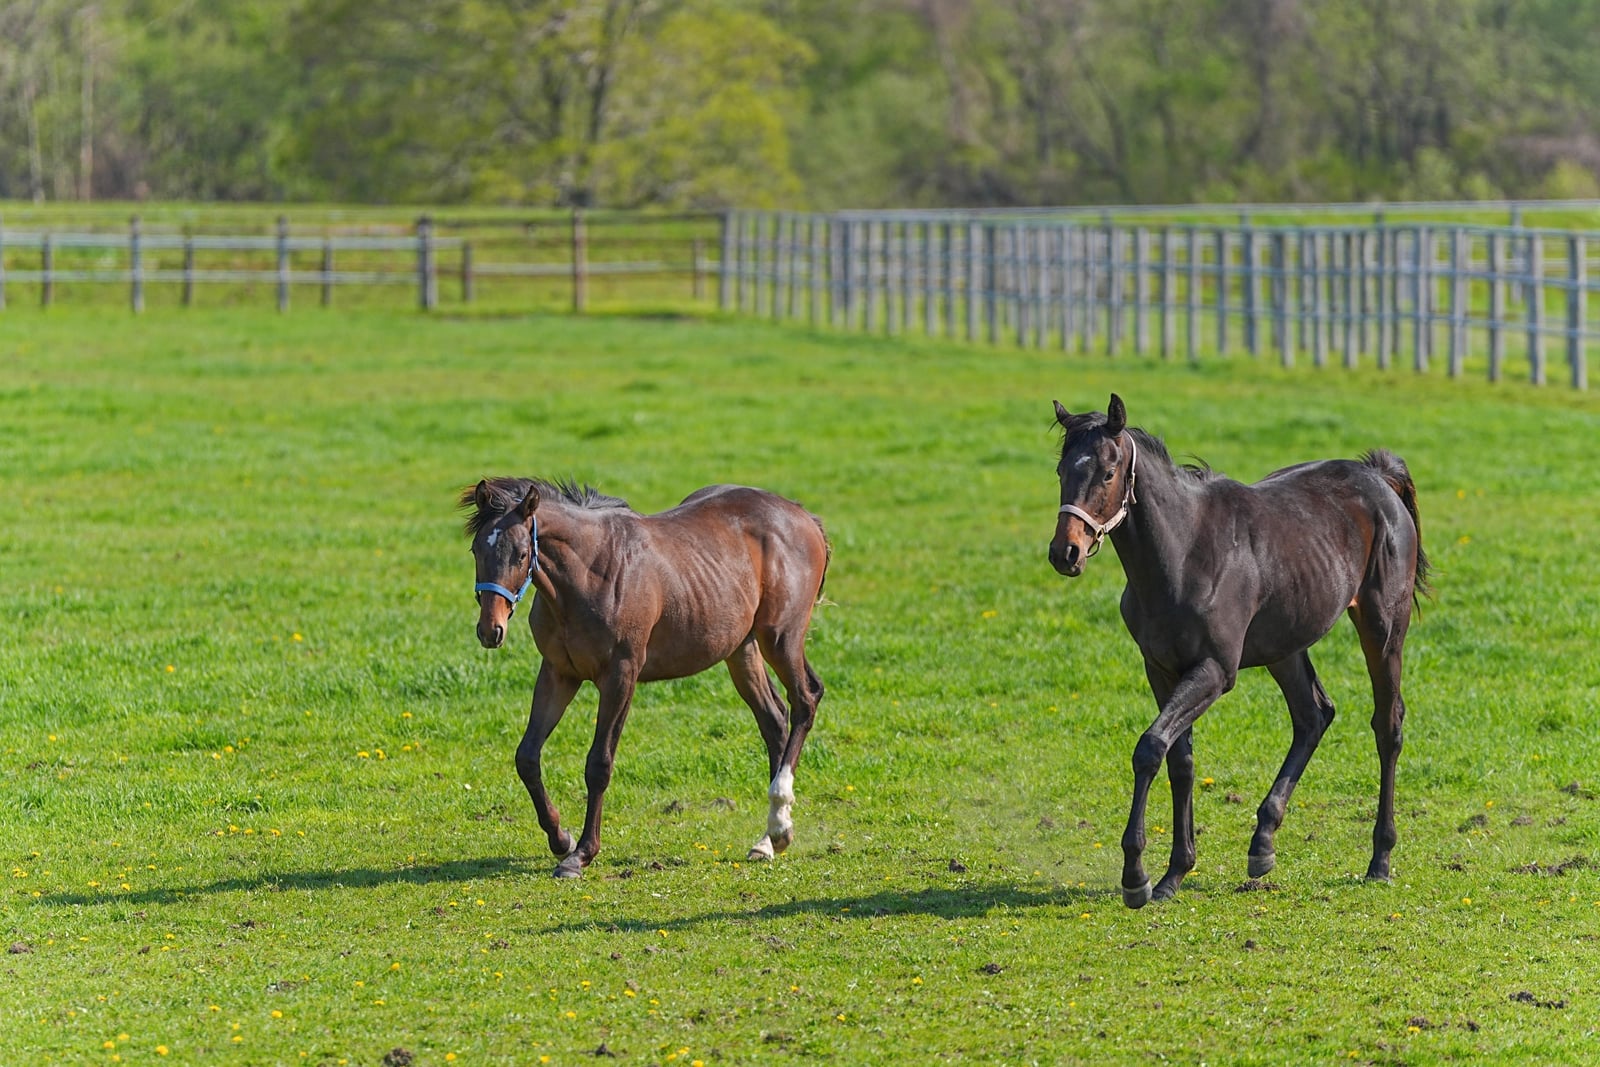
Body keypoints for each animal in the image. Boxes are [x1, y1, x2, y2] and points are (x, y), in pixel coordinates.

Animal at [461, 477, 829, 878]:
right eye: (476, 549)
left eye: (521, 554)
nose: (490, 630)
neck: (590, 575)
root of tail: (803, 517)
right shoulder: (558, 673)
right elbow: (527, 756)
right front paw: (561, 839)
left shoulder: (621, 674)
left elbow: (599, 764)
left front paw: (581, 854)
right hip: (741, 649)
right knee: (774, 719)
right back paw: (770, 839)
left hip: (780, 637)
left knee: (805, 700)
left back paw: (778, 821)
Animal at [1047, 394, 1428, 909]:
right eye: (1061, 469)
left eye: (1108, 472)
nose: (1064, 552)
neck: (1183, 553)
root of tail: (1378, 477)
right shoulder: (1161, 669)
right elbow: (1180, 759)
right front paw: (1174, 873)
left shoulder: (1214, 671)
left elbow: (1150, 748)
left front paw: (1136, 876)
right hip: (1284, 644)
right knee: (1313, 715)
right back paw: (1262, 843)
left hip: (1383, 627)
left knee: (1387, 724)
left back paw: (1380, 859)